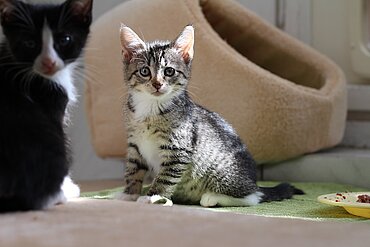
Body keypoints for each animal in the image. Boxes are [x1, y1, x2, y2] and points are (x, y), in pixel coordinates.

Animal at [118, 24, 304, 206]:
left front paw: (153, 196)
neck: (150, 107)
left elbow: (166, 176)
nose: (157, 84)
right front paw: (129, 194)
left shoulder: (179, 149)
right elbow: (133, 169)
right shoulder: (135, 144)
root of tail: (254, 181)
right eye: (144, 71)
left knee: (253, 197)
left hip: (223, 173)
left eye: (169, 71)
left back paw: (212, 197)